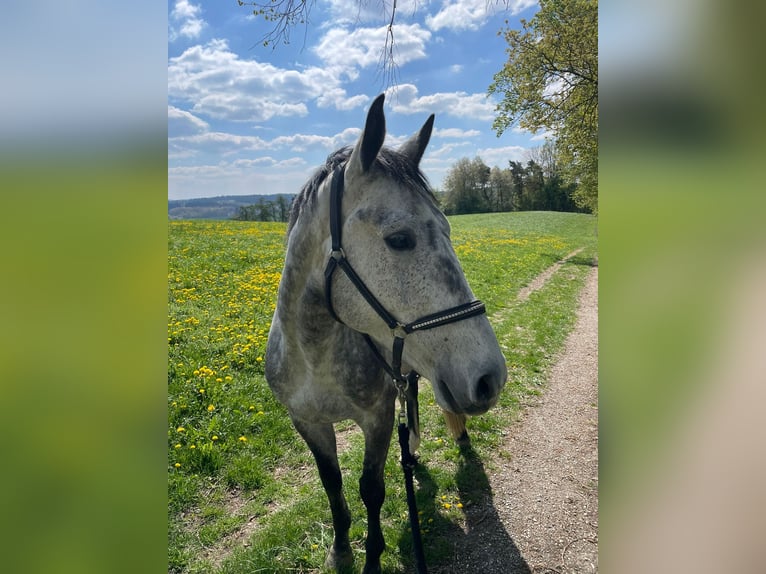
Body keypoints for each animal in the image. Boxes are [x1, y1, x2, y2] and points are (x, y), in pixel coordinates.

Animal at [265, 93, 507, 573]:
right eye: (399, 239)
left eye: (448, 229)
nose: (491, 378)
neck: (314, 358)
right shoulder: (307, 422)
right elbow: (333, 484)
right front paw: (341, 548)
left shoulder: (377, 418)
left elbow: (370, 489)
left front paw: (372, 559)